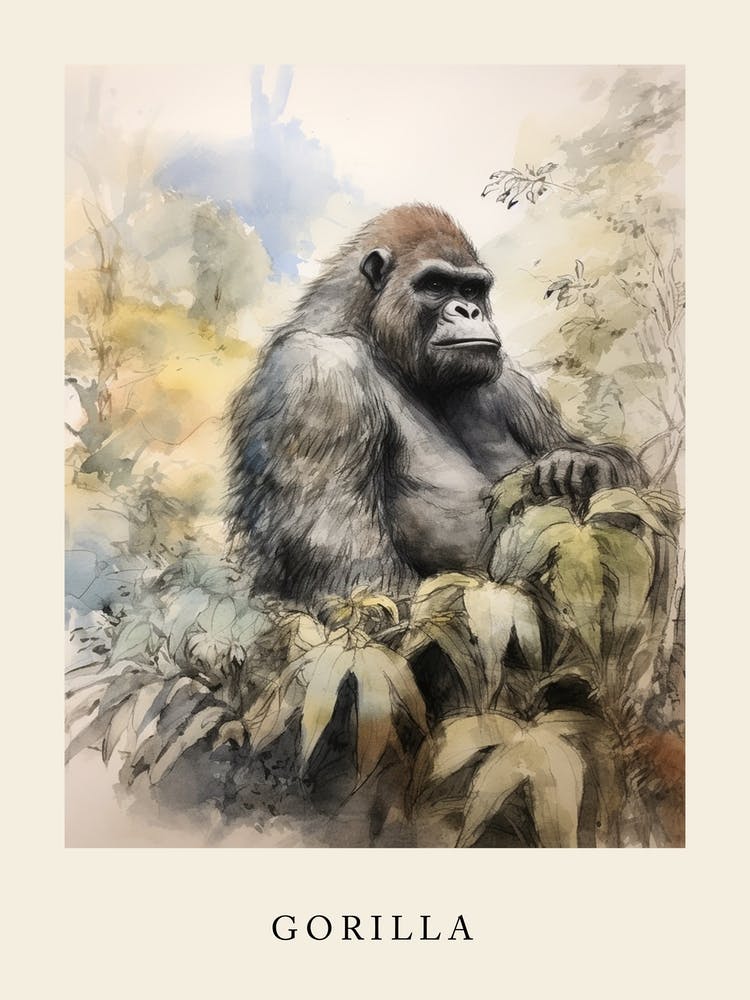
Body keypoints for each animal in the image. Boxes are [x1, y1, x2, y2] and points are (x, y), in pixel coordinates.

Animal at [226, 204, 643, 603]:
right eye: (436, 285)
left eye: (472, 289)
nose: (469, 311)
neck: (366, 325)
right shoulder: (318, 373)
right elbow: (364, 584)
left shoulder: (511, 382)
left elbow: (603, 462)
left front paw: (583, 462)